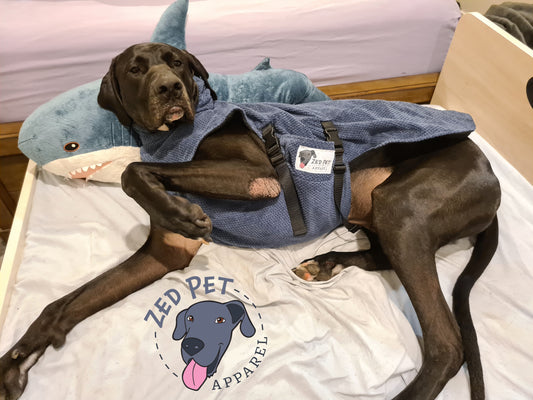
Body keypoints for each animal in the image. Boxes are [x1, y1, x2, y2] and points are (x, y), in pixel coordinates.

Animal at [0, 43, 498, 400]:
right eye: (136, 69)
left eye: (175, 62)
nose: (169, 89)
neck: (170, 138)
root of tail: (489, 171)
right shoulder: (165, 253)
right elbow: (61, 305)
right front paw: (17, 359)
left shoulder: (258, 176)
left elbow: (133, 171)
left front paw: (179, 209)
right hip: (380, 210)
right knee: (381, 256)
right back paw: (327, 263)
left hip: (402, 204)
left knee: (446, 344)